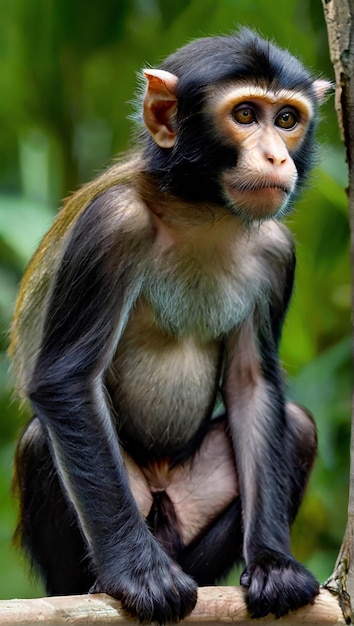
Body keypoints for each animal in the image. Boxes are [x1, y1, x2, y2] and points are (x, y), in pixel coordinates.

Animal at [9, 30, 332, 624]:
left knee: (296, 426)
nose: (277, 155)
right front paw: (139, 575)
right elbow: (65, 382)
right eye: (246, 114)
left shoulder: (278, 253)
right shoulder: (111, 228)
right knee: (44, 440)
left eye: (288, 119)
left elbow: (253, 386)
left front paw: (273, 562)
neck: (203, 214)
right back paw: (99, 581)